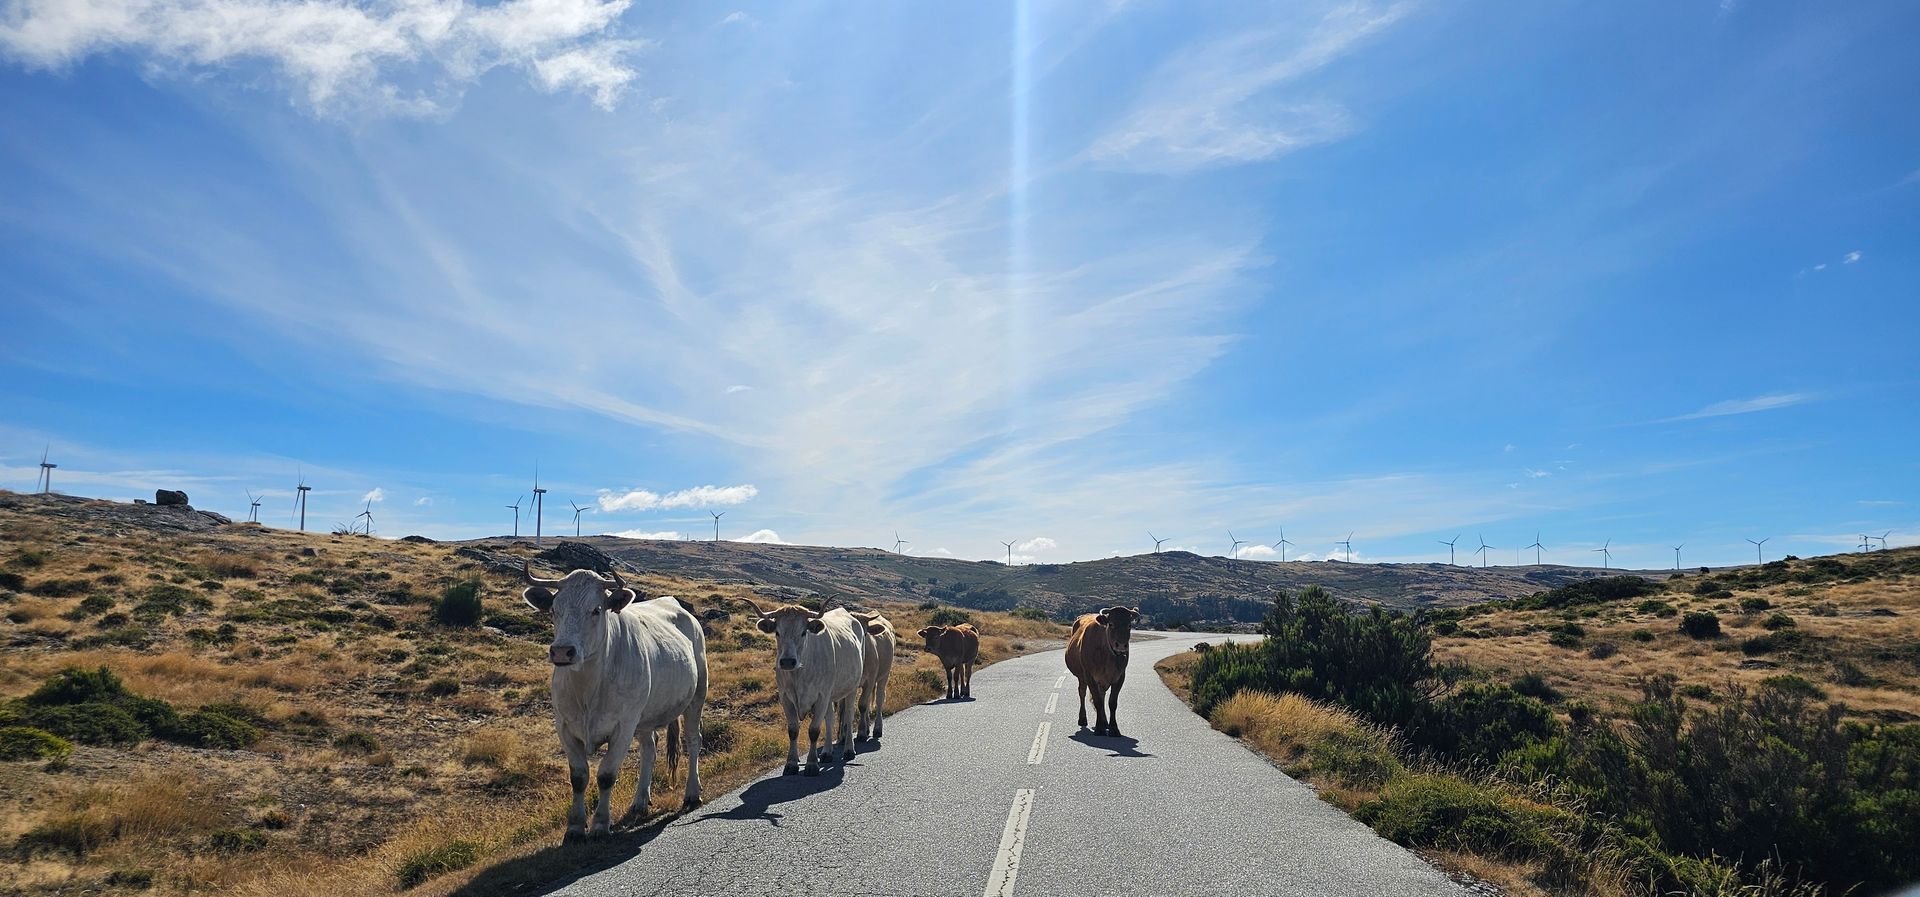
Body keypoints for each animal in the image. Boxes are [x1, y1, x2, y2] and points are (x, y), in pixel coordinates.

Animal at [522, 564, 710, 837]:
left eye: (596, 610)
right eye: (554, 610)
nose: (562, 652)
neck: (588, 689)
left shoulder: (623, 726)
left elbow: (606, 775)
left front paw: (601, 824)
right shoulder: (564, 726)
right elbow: (578, 777)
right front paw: (575, 827)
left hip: (696, 696)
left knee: (694, 740)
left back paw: (692, 793)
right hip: (644, 715)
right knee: (649, 749)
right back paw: (640, 802)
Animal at [752, 606, 867, 775]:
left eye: (803, 632)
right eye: (777, 632)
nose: (787, 661)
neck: (799, 674)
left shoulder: (821, 697)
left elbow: (814, 731)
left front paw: (812, 764)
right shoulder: (786, 698)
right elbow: (793, 730)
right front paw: (791, 764)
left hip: (851, 688)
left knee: (849, 715)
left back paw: (848, 750)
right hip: (830, 695)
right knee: (830, 718)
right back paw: (827, 753)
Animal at [852, 610, 894, 745]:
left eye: (864, 633)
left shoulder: (869, 680)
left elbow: (862, 705)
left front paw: (860, 733)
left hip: (883, 676)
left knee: (879, 699)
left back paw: (877, 729)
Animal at [1067, 606, 1136, 741]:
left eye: (1129, 625)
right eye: (1111, 624)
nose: (1121, 645)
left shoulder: (1120, 677)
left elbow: (1112, 703)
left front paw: (1114, 728)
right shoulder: (1090, 676)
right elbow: (1097, 701)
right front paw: (1099, 728)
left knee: (1102, 695)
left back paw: (1105, 722)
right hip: (1082, 677)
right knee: (1082, 693)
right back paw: (1083, 719)